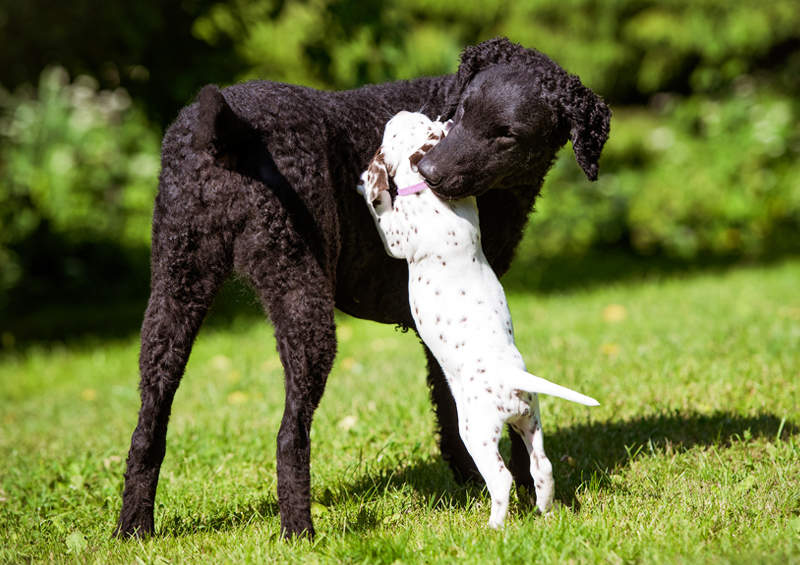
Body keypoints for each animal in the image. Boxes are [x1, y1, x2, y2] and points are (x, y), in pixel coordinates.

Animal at [358, 111, 600, 528]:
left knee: (501, 478)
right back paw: (544, 513)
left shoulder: (397, 237)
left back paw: (494, 526)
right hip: (530, 420)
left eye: (397, 130)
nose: (399, 113)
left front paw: (369, 180)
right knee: (542, 467)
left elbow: (383, 210)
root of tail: (514, 380)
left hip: (477, 432)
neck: (433, 196)